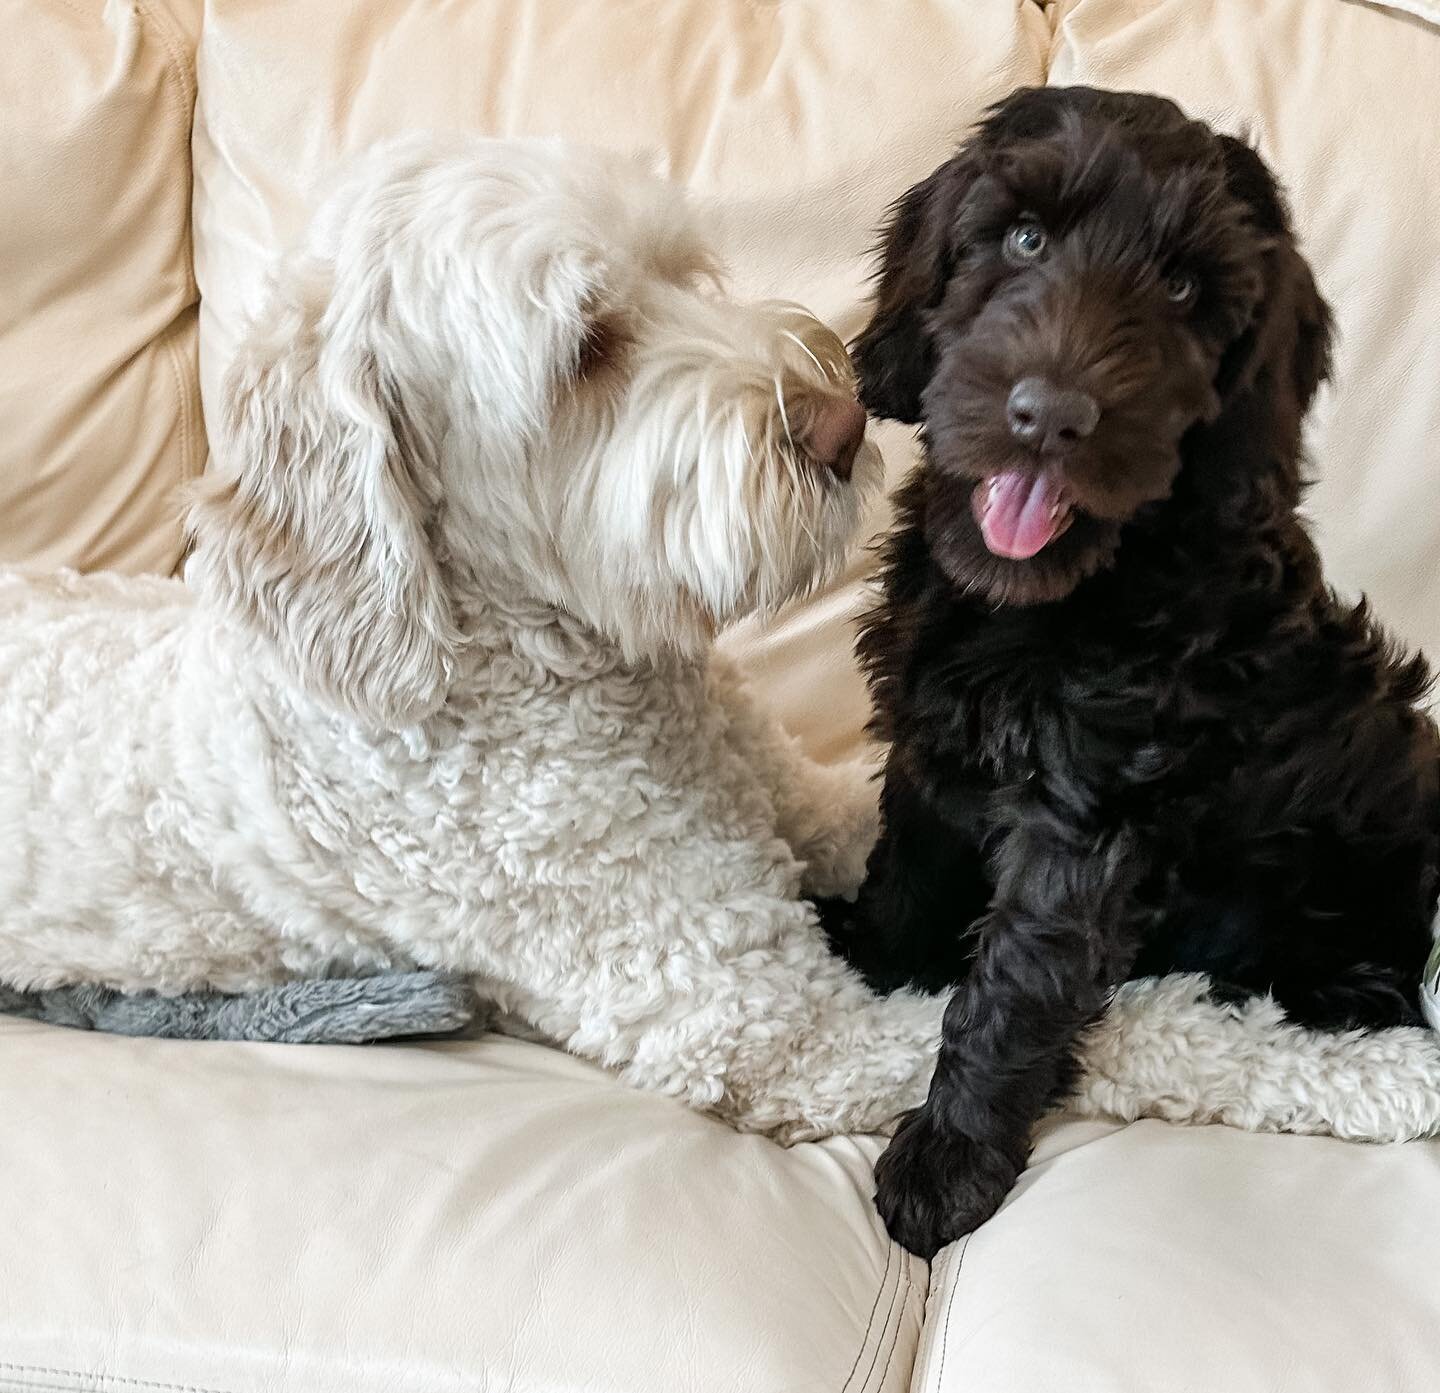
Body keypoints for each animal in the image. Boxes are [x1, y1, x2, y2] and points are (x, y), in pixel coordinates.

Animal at [823, 90, 1440, 1261]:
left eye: (1187, 290)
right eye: (1024, 237)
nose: (1050, 416)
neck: (1050, 597)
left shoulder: (1089, 810)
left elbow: (1016, 983)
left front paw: (947, 1160)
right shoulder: (934, 743)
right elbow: (910, 859)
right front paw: (874, 959)